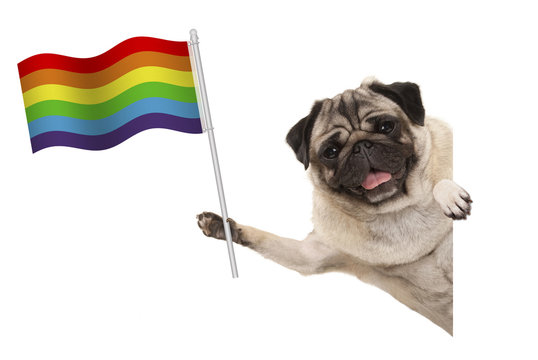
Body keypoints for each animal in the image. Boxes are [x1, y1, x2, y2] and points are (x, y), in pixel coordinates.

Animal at [196, 77, 468, 334]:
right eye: (331, 151)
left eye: (386, 126)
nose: (361, 145)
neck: (395, 209)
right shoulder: (313, 255)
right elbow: (267, 240)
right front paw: (224, 227)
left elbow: (441, 183)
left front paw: (450, 196)